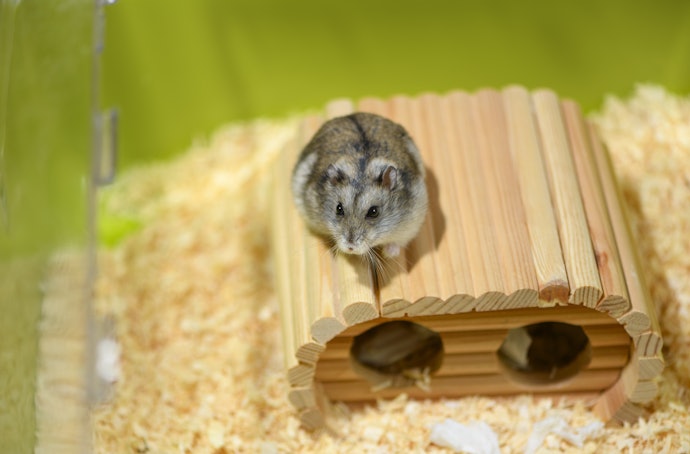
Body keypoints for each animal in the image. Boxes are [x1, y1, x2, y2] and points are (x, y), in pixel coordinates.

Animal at [291, 112, 428, 257]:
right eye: (338, 208)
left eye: (374, 212)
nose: (350, 247)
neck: (361, 172)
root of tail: (351, 115)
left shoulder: (412, 222)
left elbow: (397, 242)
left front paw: (389, 254)